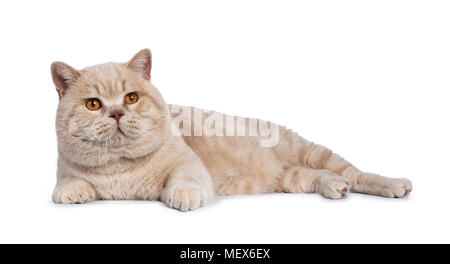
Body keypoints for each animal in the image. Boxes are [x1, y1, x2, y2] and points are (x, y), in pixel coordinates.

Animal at [51, 48, 412, 211]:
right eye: (93, 104)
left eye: (131, 97)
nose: (115, 113)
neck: (122, 167)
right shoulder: (66, 170)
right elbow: (67, 183)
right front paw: (73, 192)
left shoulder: (188, 165)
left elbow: (184, 178)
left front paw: (183, 195)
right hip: (290, 178)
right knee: (321, 177)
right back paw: (336, 187)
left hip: (311, 151)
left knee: (358, 173)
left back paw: (395, 185)